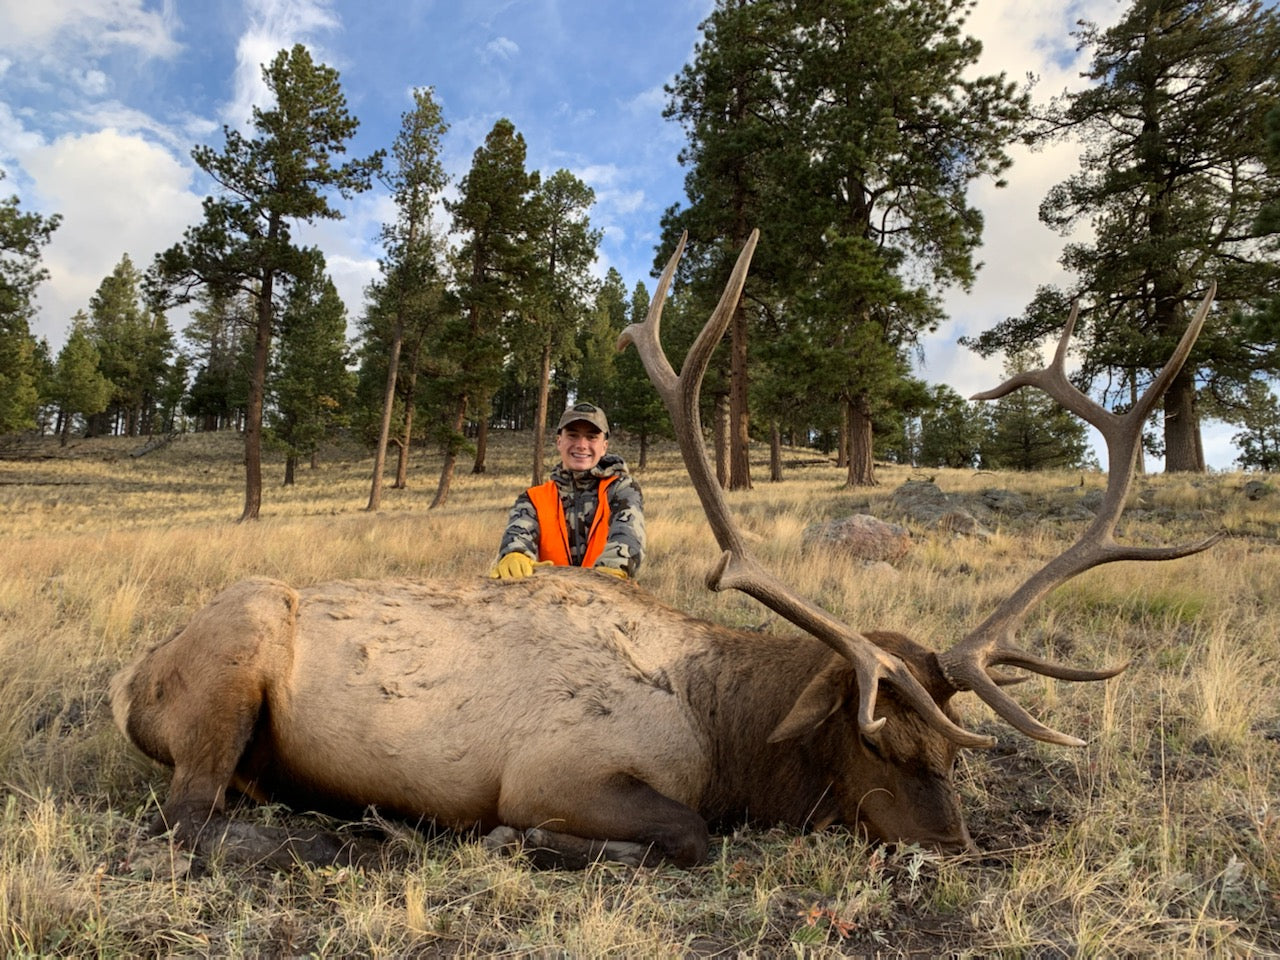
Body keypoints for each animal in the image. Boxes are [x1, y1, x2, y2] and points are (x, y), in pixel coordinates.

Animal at [109, 230, 1221, 869]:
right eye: (874, 740)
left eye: (952, 749)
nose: (959, 850)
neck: (724, 735)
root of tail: (131, 684)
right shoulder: (555, 769)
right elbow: (684, 835)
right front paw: (516, 840)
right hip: (236, 656)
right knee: (189, 814)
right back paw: (320, 835)